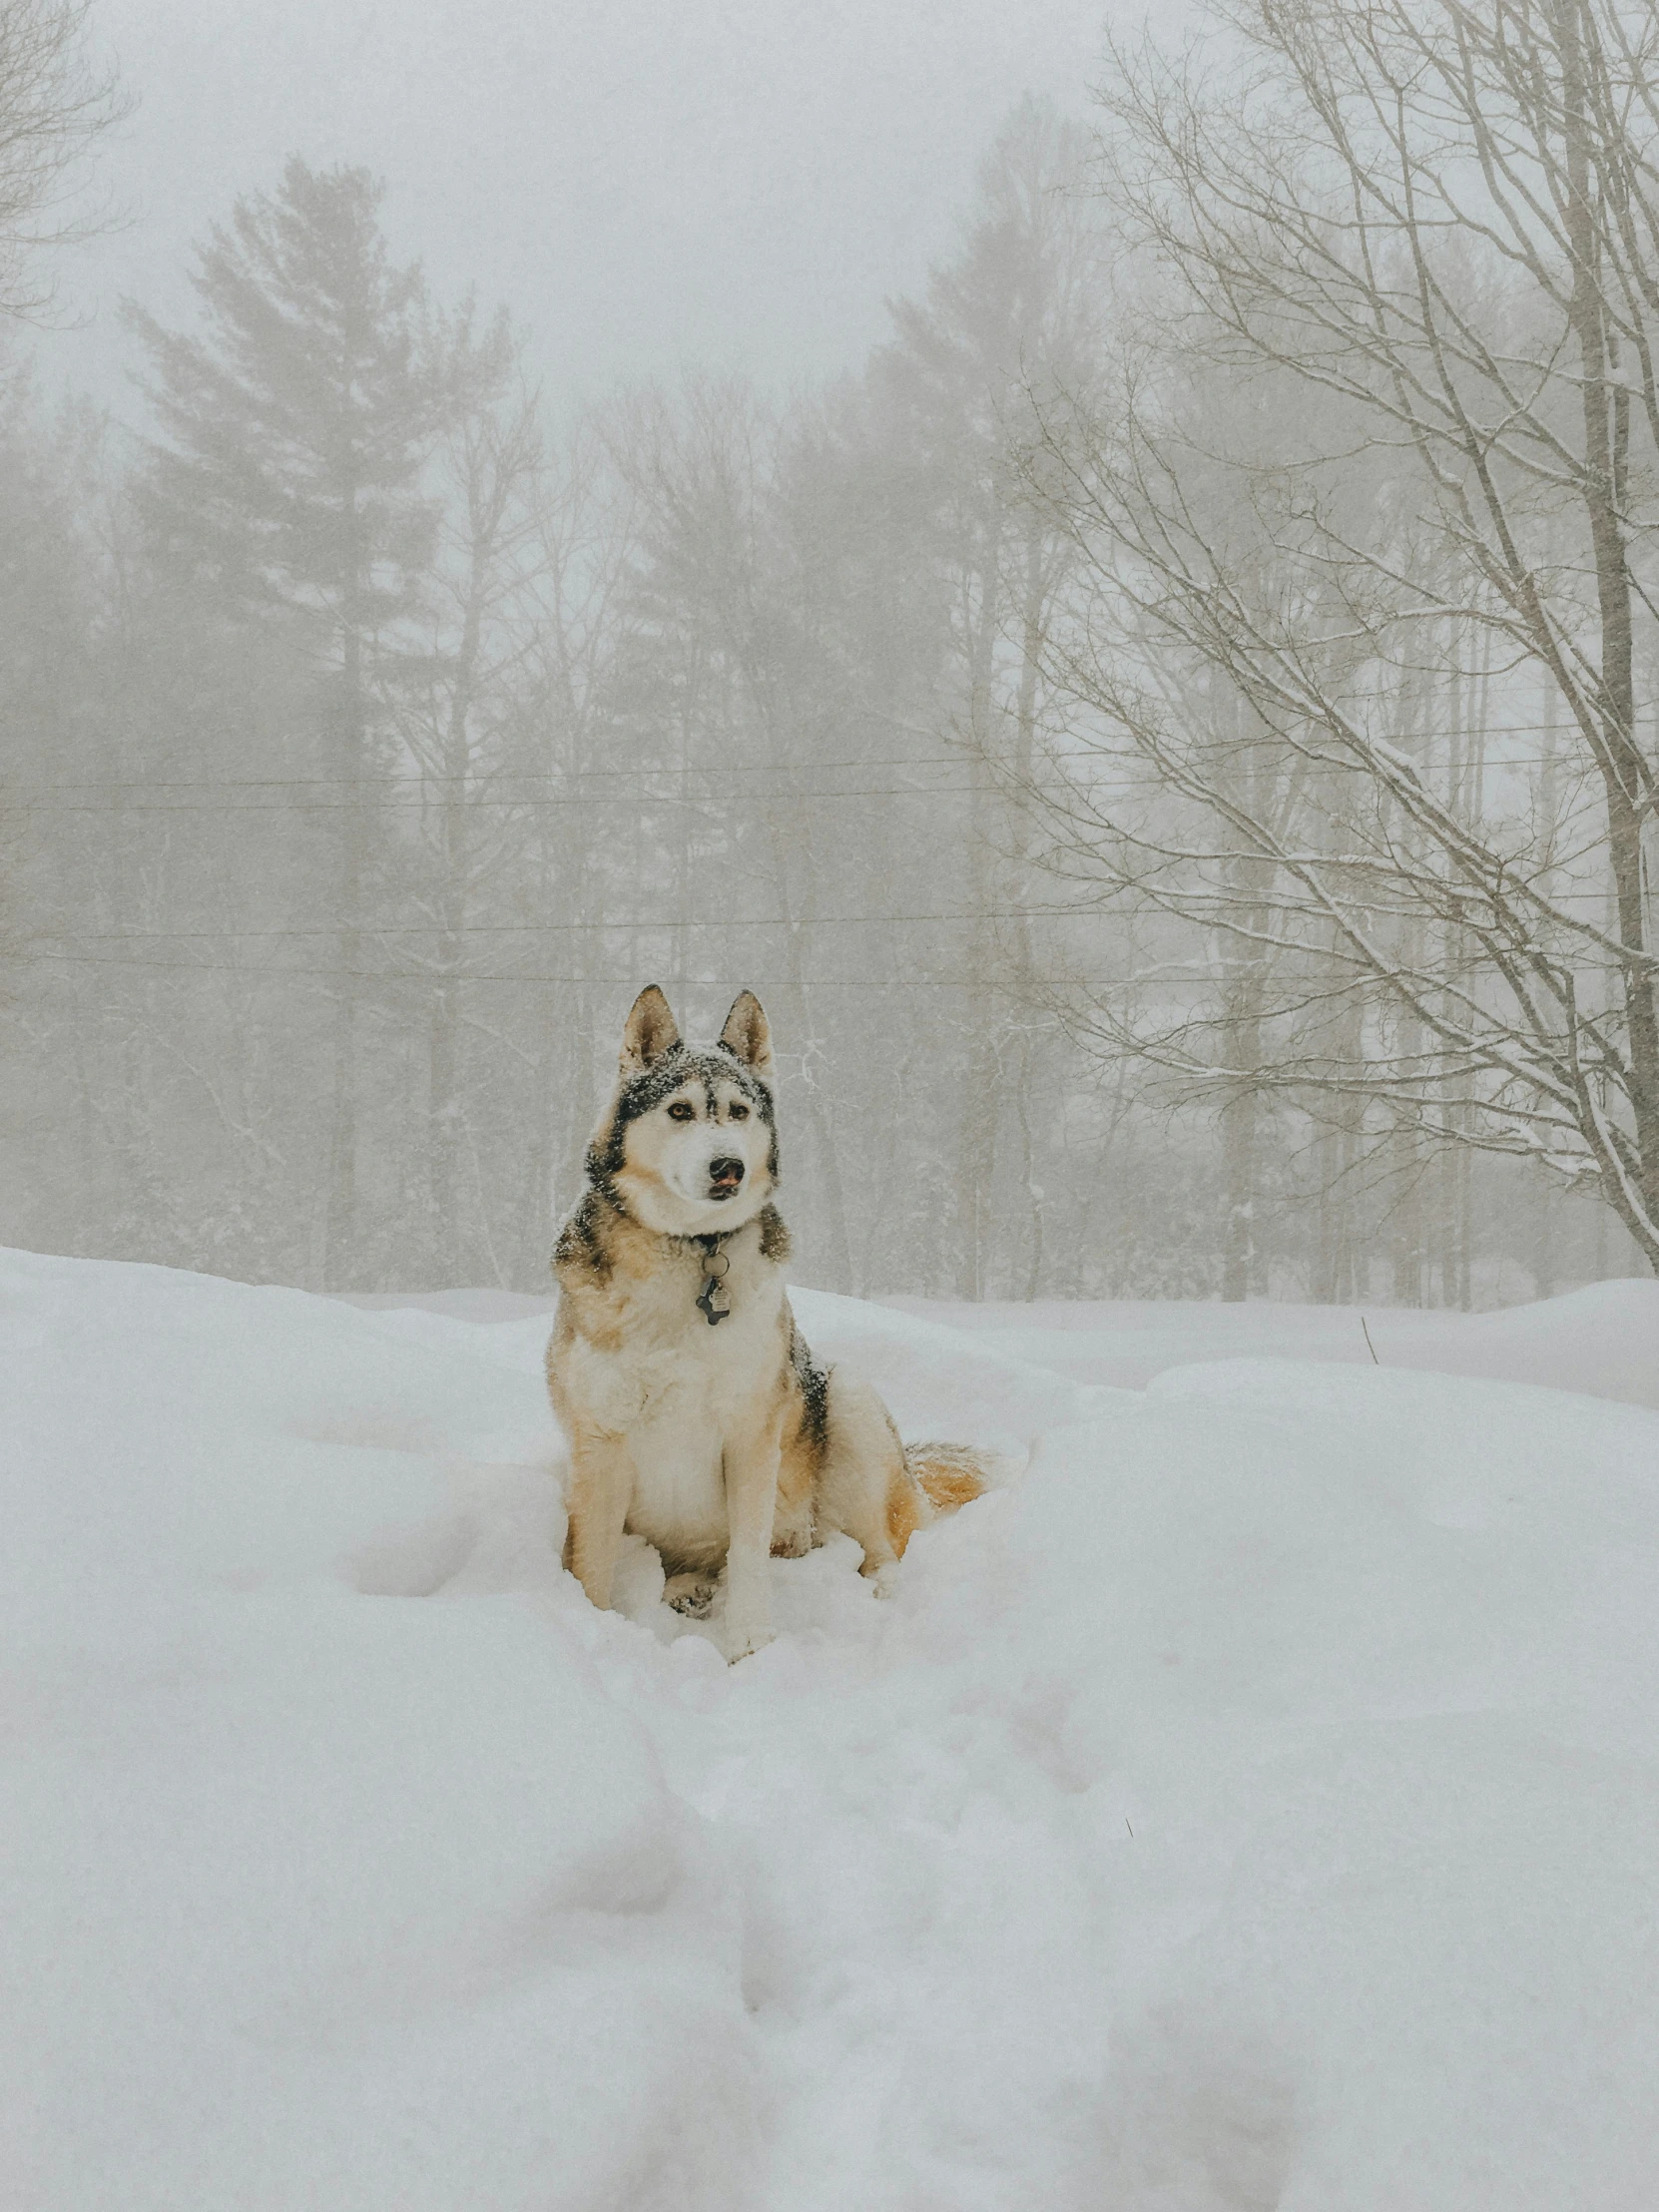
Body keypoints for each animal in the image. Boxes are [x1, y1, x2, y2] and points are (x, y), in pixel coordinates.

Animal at [548, 986, 986, 1663]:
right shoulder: (600, 1440)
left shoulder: (751, 1431)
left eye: (738, 1111)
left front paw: (750, 1643)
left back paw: (879, 1592)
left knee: (877, 1548)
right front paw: (594, 1631)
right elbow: (591, 1567)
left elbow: (749, 1553)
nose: (728, 1166)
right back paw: (686, 1590)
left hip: (848, 1400)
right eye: (680, 1111)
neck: (690, 1250)